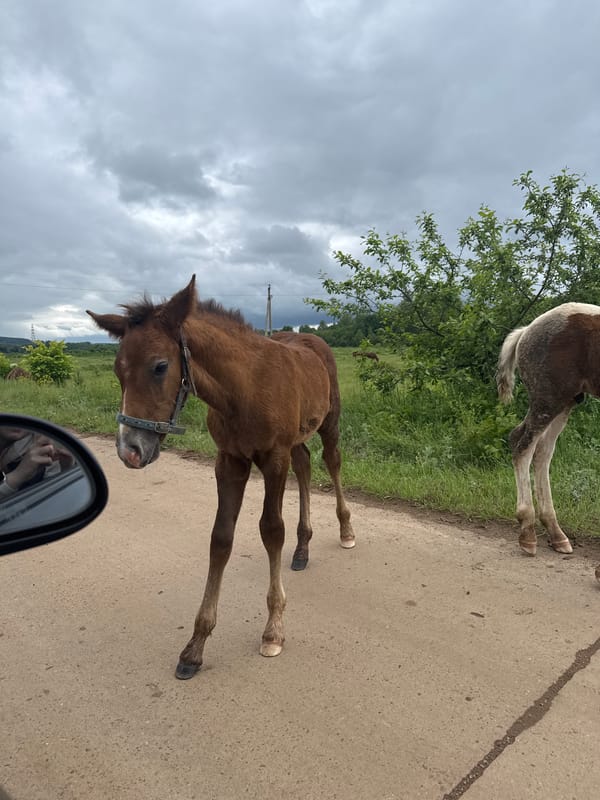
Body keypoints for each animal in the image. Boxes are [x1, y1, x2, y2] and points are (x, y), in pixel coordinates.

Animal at [87, 275, 355, 679]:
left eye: (160, 366)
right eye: (118, 370)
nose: (129, 450)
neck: (244, 389)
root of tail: (314, 339)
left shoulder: (273, 458)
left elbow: (271, 530)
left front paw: (273, 629)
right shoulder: (229, 461)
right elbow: (220, 539)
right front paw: (195, 646)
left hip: (329, 422)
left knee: (332, 461)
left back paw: (345, 530)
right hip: (296, 438)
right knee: (306, 465)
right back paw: (302, 548)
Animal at [496, 302, 600, 556]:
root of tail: (526, 331)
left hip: (567, 401)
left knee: (542, 451)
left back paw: (555, 532)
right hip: (549, 398)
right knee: (522, 444)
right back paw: (528, 530)